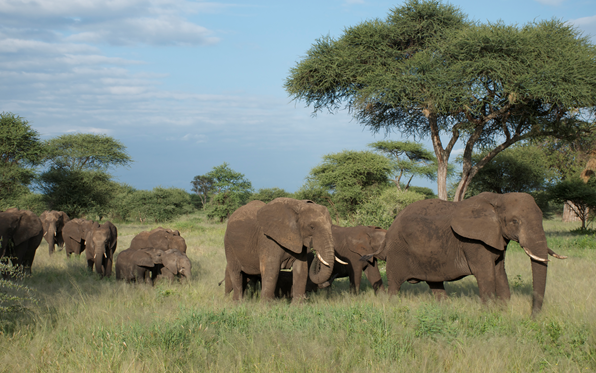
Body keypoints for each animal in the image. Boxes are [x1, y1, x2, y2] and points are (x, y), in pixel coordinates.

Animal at [368, 192, 568, 316]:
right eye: (515, 221)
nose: (532, 317)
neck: (498, 199)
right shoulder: (473, 242)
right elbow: (486, 274)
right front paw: (488, 314)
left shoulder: (496, 238)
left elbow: (499, 272)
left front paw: (503, 311)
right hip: (397, 251)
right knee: (395, 284)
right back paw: (393, 307)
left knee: (435, 283)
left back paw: (446, 310)